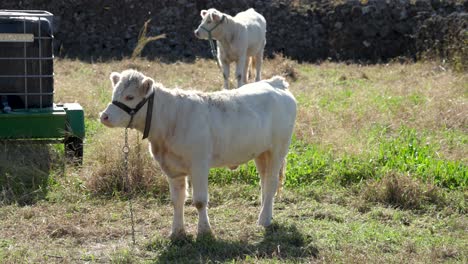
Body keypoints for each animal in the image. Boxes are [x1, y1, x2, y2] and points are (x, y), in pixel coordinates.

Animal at [99, 69, 296, 238]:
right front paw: (177, 232)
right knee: (264, 182)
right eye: (114, 94)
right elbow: (177, 200)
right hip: (261, 152)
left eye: (130, 96)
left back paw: (264, 220)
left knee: (271, 182)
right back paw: (265, 213)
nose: (104, 116)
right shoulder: (172, 169)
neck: (171, 119)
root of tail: (275, 83)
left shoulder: (199, 165)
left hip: (278, 149)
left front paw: (204, 231)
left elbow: (200, 201)